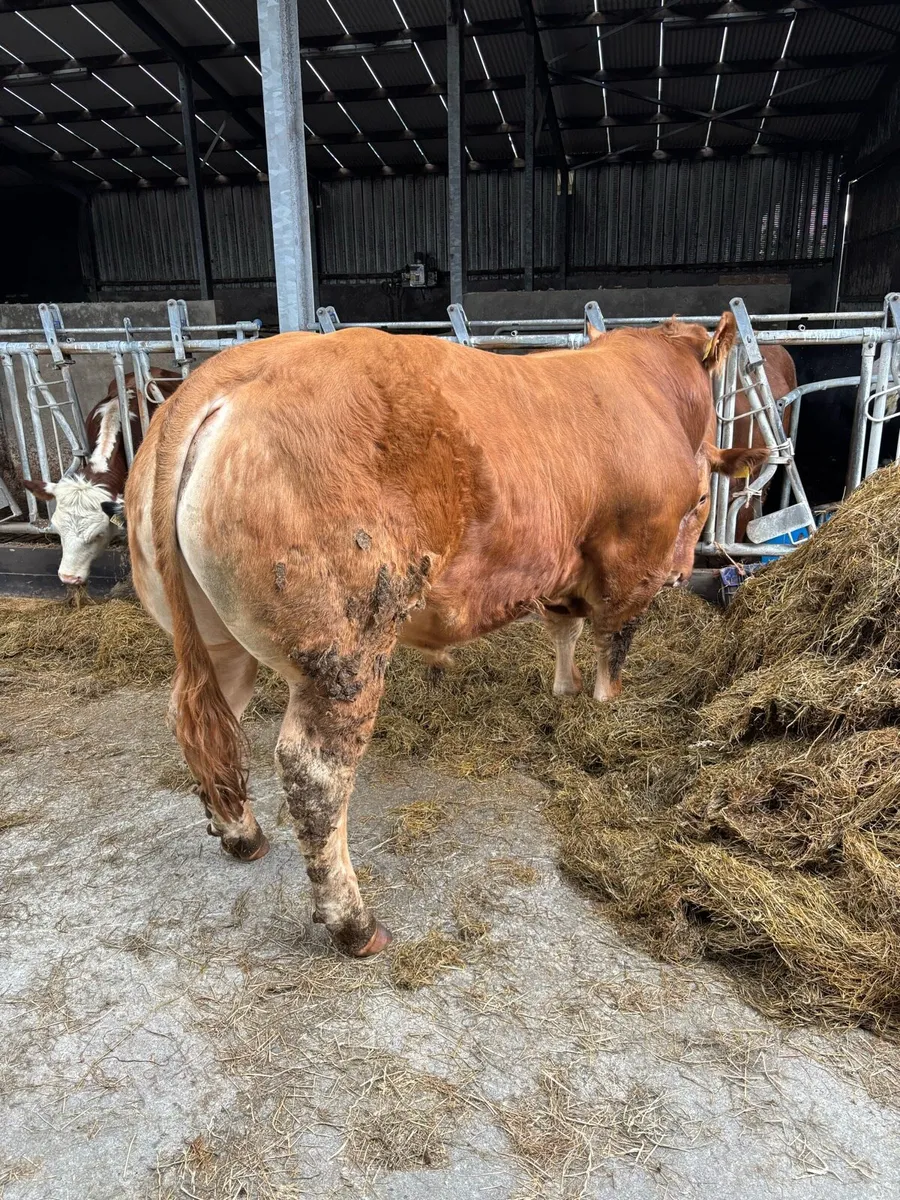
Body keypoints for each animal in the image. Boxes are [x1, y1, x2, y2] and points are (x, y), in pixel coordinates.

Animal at [125, 315, 766, 958]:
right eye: (703, 499)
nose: (685, 572)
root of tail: (223, 376)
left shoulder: (561, 561)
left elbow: (565, 625)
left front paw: (564, 691)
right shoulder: (632, 562)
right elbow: (614, 643)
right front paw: (607, 710)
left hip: (217, 642)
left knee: (201, 722)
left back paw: (241, 834)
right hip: (342, 652)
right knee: (314, 772)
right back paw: (356, 925)